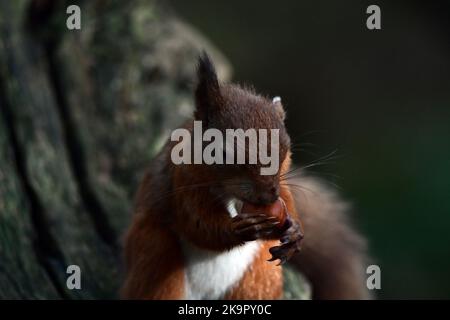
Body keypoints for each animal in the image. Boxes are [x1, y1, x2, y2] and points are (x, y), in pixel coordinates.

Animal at [121, 52, 370, 300]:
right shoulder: (183, 182)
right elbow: (197, 222)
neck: (231, 195)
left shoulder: (282, 186)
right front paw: (237, 229)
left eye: (286, 150)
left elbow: (288, 199)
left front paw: (295, 230)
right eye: (222, 153)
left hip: (258, 277)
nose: (268, 197)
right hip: (155, 254)